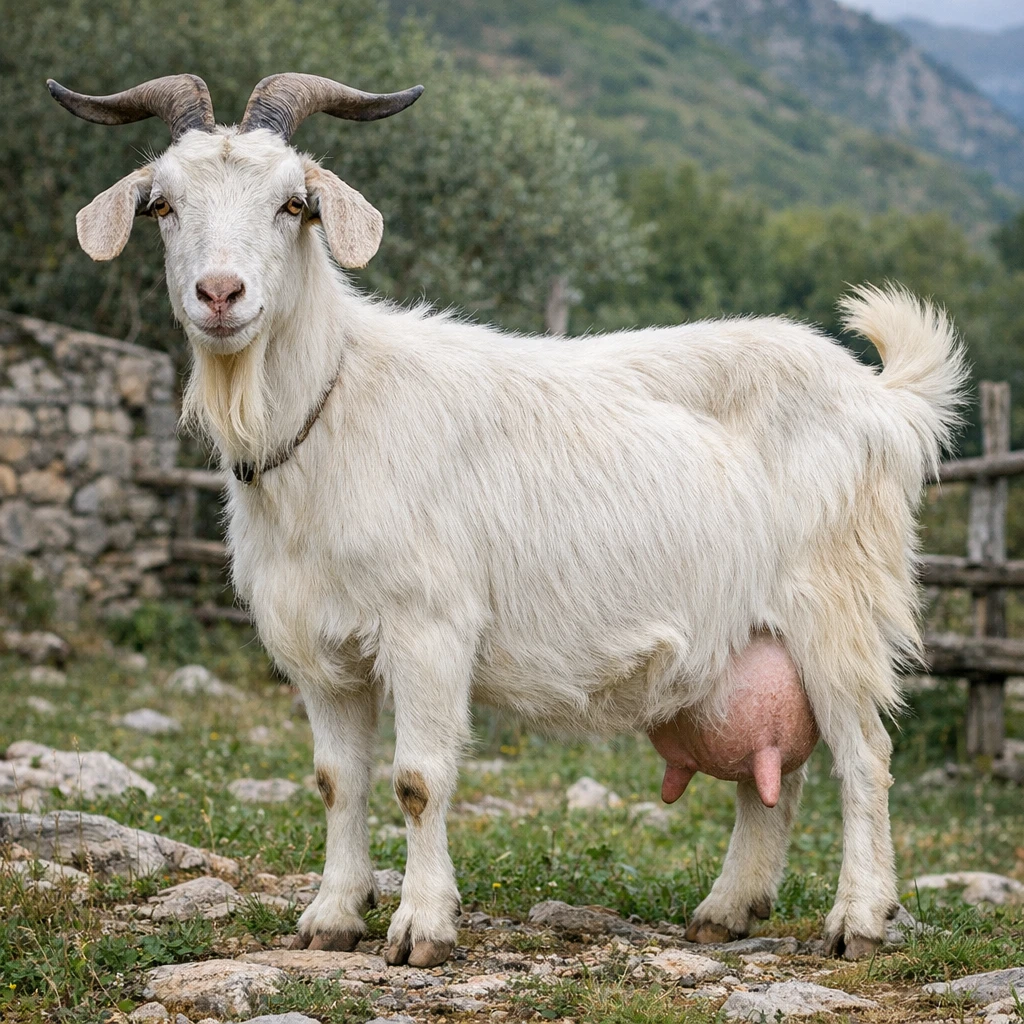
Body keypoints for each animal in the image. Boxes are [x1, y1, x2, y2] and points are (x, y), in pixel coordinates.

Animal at [50, 73, 967, 967]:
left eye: (292, 203)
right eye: (163, 205)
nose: (219, 293)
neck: (332, 410)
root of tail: (881, 398)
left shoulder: (428, 626)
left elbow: (418, 779)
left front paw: (420, 929)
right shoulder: (320, 650)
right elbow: (336, 781)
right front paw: (331, 918)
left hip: (838, 608)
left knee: (864, 757)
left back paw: (858, 921)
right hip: (754, 639)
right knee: (771, 775)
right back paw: (726, 910)